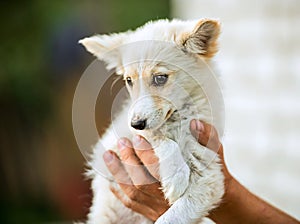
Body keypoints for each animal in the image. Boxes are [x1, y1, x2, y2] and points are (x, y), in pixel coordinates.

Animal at [79, 18, 225, 223]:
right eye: (129, 81)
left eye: (160, 78)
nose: (136, 124)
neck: (176, 119)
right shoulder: (116, 143)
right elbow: (159, 138)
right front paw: (176, 176)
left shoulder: (207, 175)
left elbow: (171, 218)